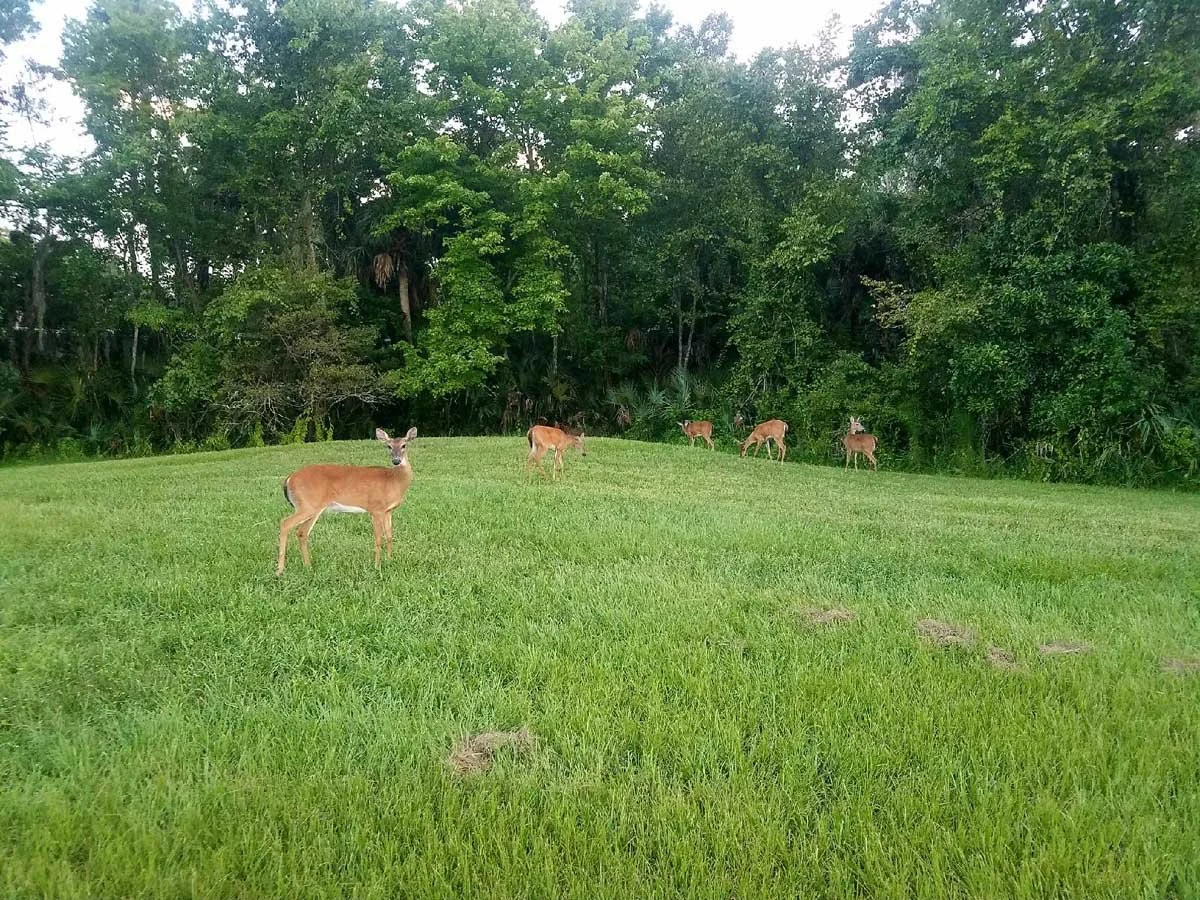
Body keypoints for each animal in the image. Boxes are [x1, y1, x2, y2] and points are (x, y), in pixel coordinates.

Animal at [276, 427, 418, 575]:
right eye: (388, 446)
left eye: (404, 445)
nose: (396, 461)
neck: (393, 480)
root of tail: (289, 479)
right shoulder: (376, 509)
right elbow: (378, 538)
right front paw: (377, 566)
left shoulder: (388, 510)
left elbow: (390, 536)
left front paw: (390, 560)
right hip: (307, 505)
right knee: (285, 523)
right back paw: (280, 570)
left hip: (311, 508)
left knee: (301, 532)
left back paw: (308, 566)